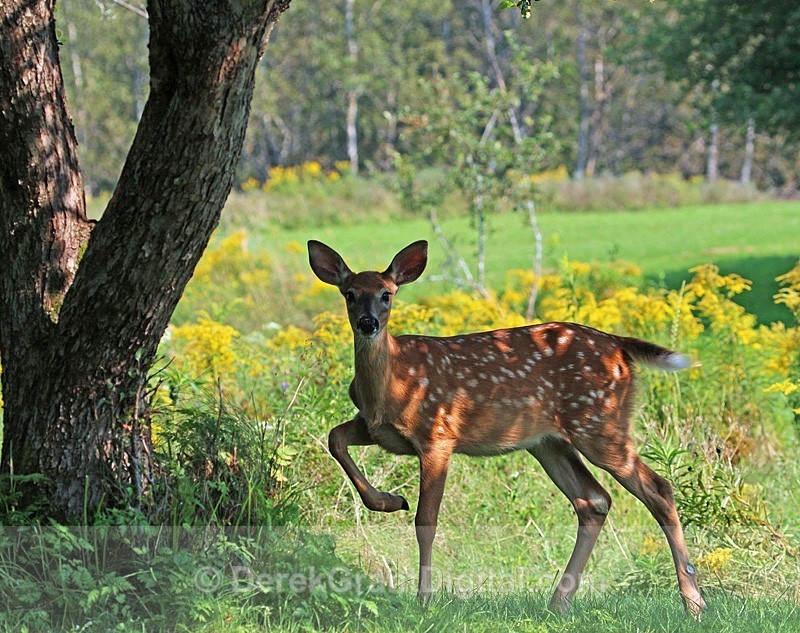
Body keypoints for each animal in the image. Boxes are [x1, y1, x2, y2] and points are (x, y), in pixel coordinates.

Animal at [307, 239, 707, 615]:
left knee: (658, 489)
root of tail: (620, 345)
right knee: (594, 500)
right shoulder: (374, 429)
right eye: (349, 294)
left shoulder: (438, 434)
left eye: (386, 294)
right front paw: (388, 501)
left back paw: (693, 602)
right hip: (549, 442)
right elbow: (334, 438)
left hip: (598, 421)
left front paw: (424, 599)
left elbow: (426, 520)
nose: (368, 323)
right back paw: (559, 602)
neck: (393, 387)